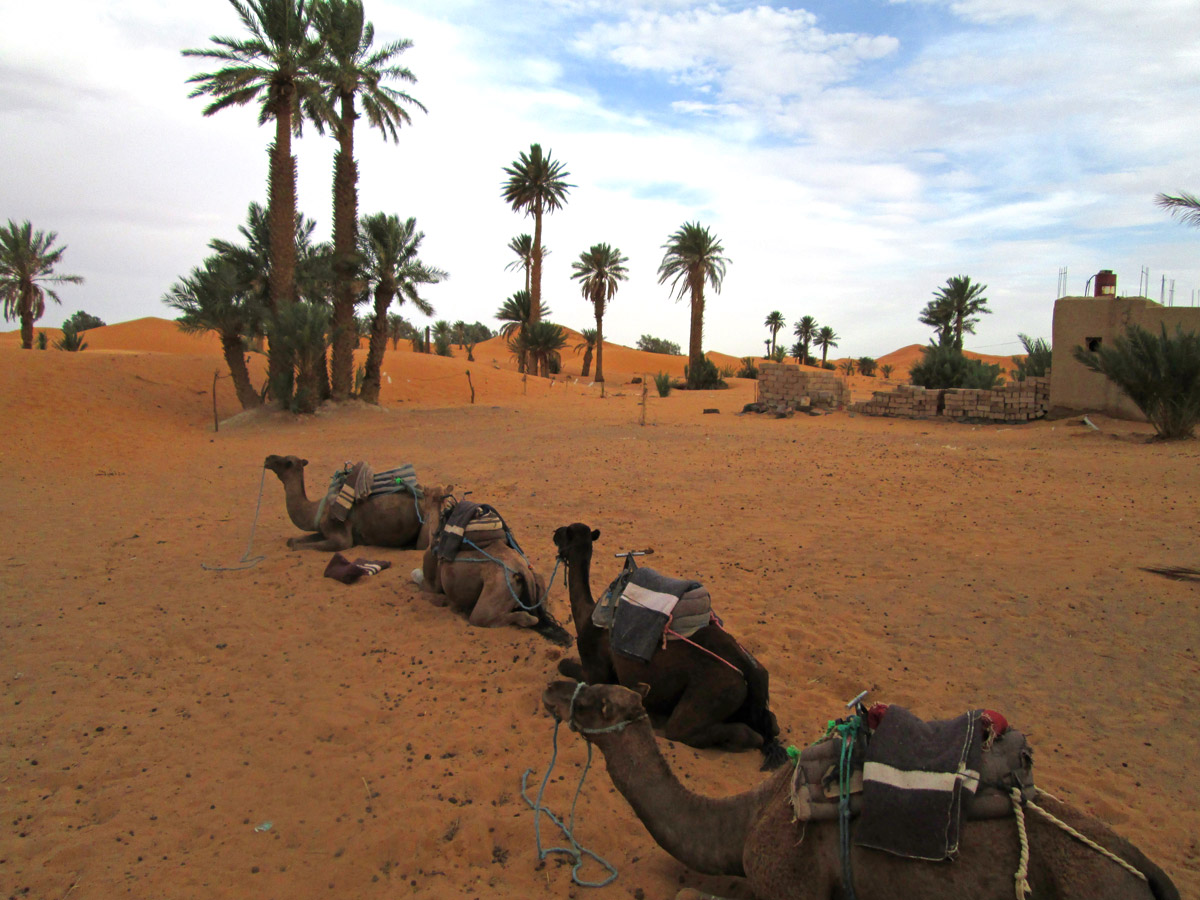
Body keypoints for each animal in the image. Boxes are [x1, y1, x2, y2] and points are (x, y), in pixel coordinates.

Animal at [264, 453, 432, 554]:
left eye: (287, 462)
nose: (268, 458)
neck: (316, 511)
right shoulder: (323, 530)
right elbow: (294, 541)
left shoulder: (340, 534)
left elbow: (298, 546)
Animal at [412, 487, 571, 648]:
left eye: (424, 493)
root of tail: (523, 571)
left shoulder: (431, 583)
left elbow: (418, 579)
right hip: (537, 581)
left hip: (497, 591)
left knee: (504, 618)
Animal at [549, 525, 787, 772]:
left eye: (564, 532)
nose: (554, 534)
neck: (588, 614)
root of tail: (748, 670)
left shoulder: (596, 670)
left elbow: (566, 666)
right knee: (771, 724)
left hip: (717, 691)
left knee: (695, 731)